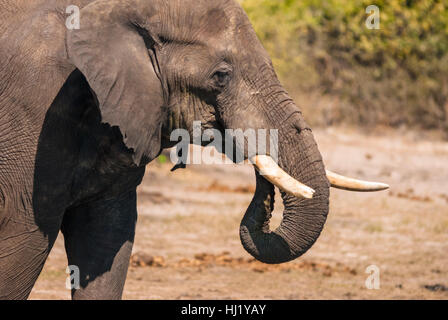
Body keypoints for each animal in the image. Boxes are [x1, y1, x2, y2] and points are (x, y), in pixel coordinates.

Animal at [0, 0, 388, 300]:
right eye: (221, 76)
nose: (265, 194)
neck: (117, 11)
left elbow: (108, 240)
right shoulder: (36, 112)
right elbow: (25, 235)